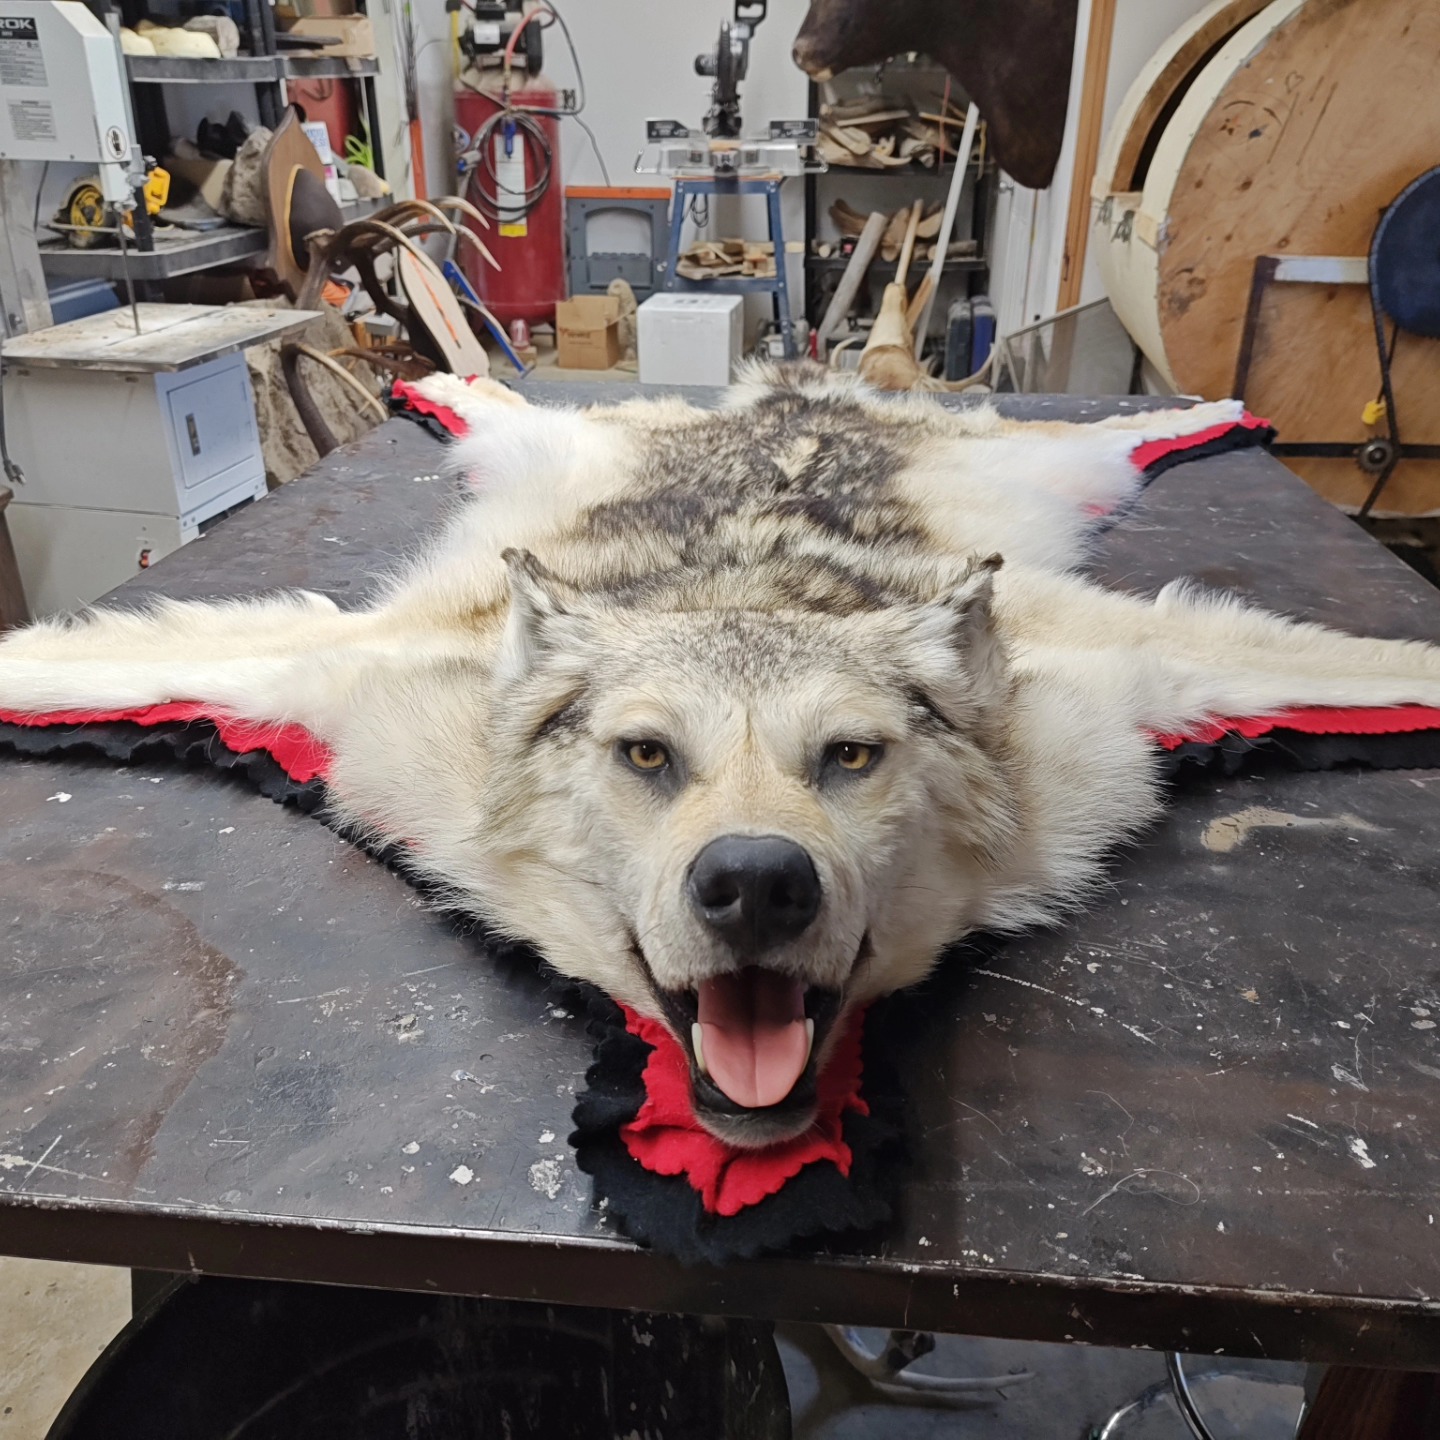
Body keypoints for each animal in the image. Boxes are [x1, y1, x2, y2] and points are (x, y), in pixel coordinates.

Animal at [3, 366, 1439, 1151]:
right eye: (648, 754)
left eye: (850, 755)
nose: (756, 882)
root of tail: (800, 389)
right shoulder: (336, 676)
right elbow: (91, 659)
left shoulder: (1135, 673)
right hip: (554, 449)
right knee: (502, 402)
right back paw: (446, 381)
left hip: (1058, 466)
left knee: (1115, 426)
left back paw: (1219, 408)